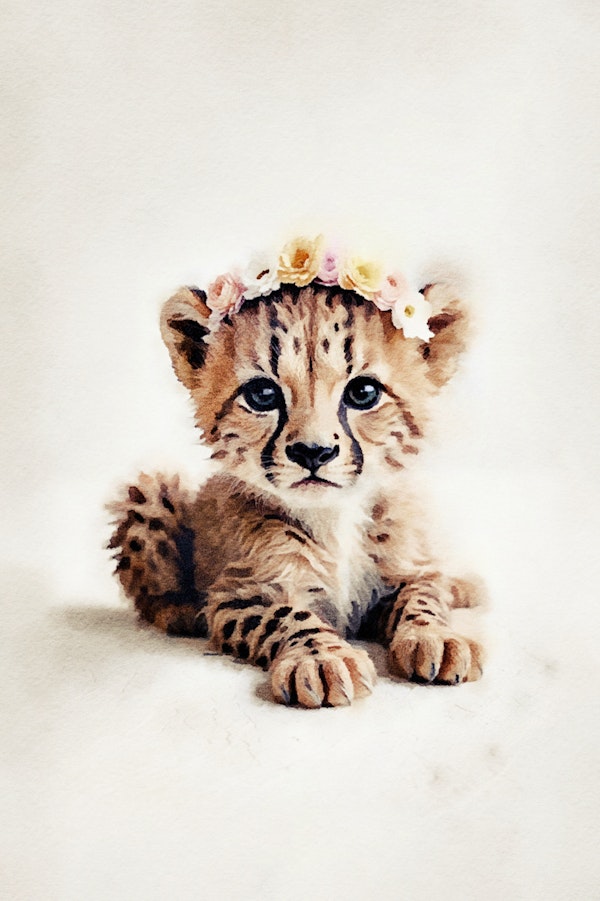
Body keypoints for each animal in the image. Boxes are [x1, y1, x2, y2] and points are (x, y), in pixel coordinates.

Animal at [108, 279, 484, 707]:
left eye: (364, 392)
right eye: (262, 395)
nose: (313, 452)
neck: (335, 515)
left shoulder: (405, 570)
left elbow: (423, 595)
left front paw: (435, 636)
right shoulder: (237, 595)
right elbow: (287, 617)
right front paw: (321, 658)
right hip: (150, 494)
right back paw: (183, 610)